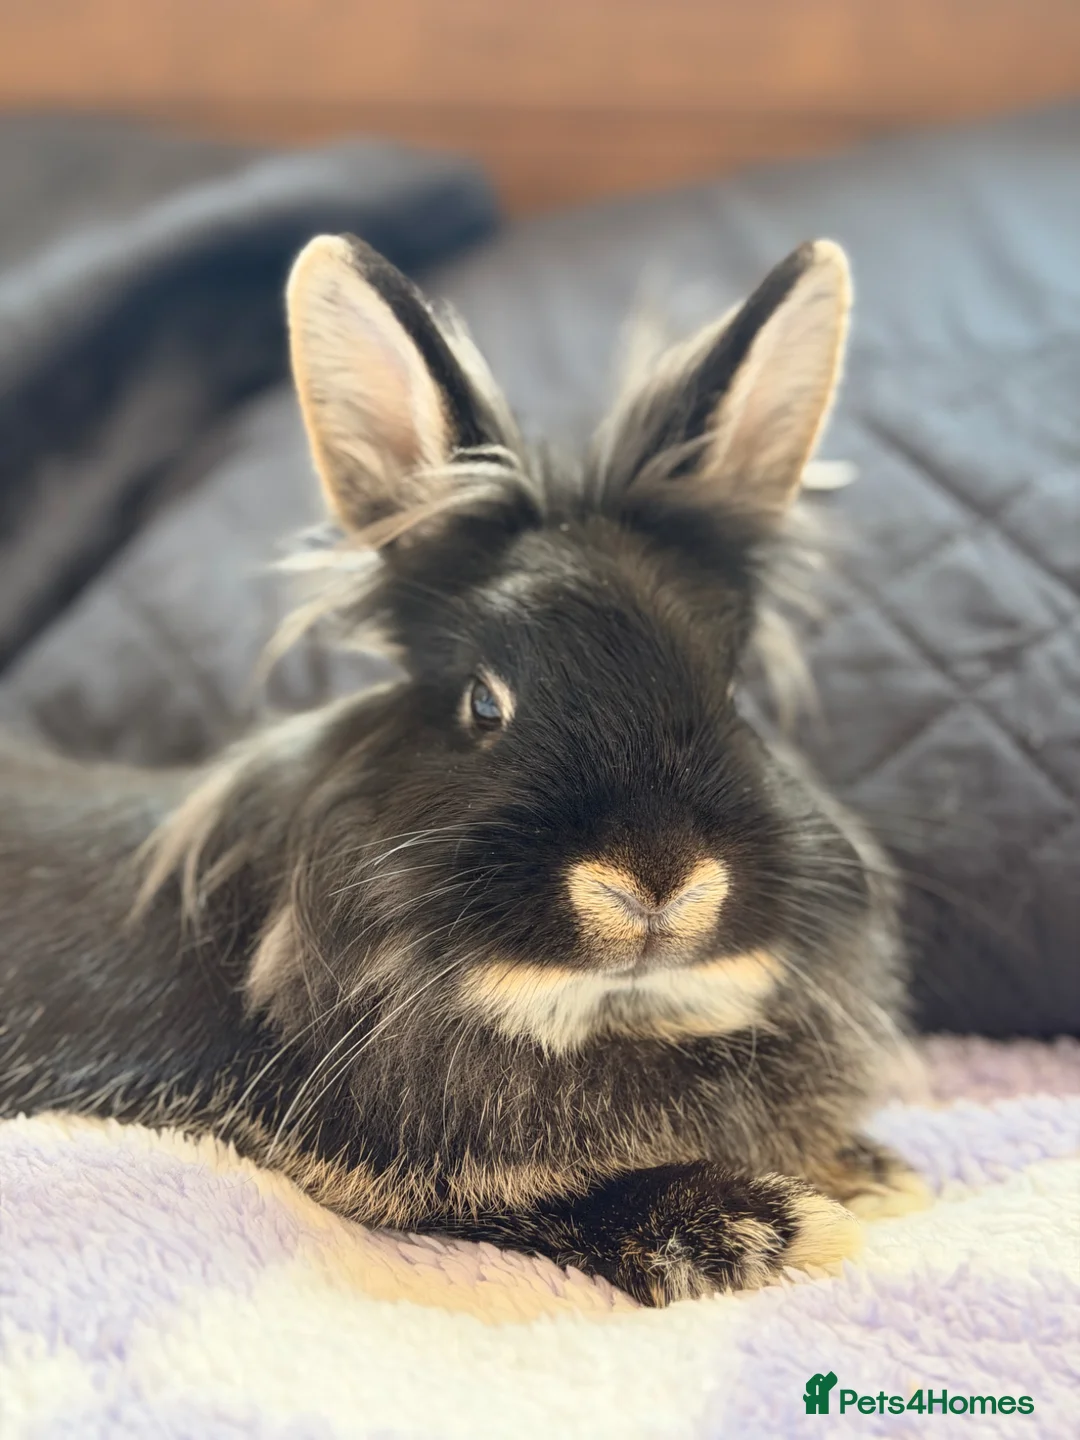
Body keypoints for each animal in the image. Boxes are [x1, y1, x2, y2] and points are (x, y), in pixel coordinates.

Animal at [0, 234, 929, 1307]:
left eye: (734, 693)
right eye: (484, 704)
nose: (657, 881)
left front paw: (875, 1172)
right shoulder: (375, 1177)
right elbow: (541, 1204)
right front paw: (779, 1223)